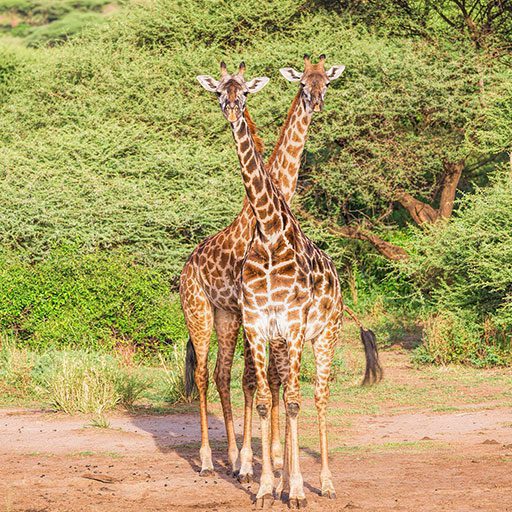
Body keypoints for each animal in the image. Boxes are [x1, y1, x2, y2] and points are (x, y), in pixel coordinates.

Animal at [198, 62, 382, 506]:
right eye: (220, 92)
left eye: (325, 81)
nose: (232, 110)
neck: (267, 231)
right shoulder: (257, 323)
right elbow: (265, 396)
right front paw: (265, 482)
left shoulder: (291, 328)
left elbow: (289, 399)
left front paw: (291, 486)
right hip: (204, 313)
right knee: (210, 376)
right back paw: (217, 461)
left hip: (323, 334)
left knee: (316, 395)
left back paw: (324, 483)